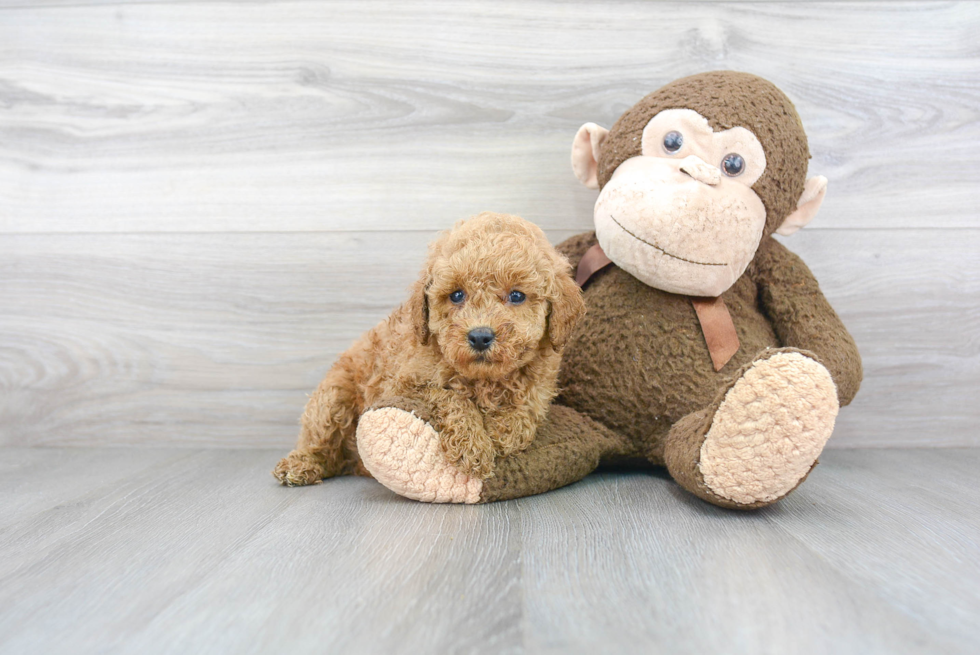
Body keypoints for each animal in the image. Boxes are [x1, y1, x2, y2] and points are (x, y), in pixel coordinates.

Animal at [272, 211, 584, 486]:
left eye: (517, 296)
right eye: (456, 295)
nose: (480, 336)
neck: (484, 380)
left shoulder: (539, 387)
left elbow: (525, 410)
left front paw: (503, 432)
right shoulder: (402, 386)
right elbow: (451, 397)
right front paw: (474, 447)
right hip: (333, 397)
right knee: (320, 444)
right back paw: (300, 464)